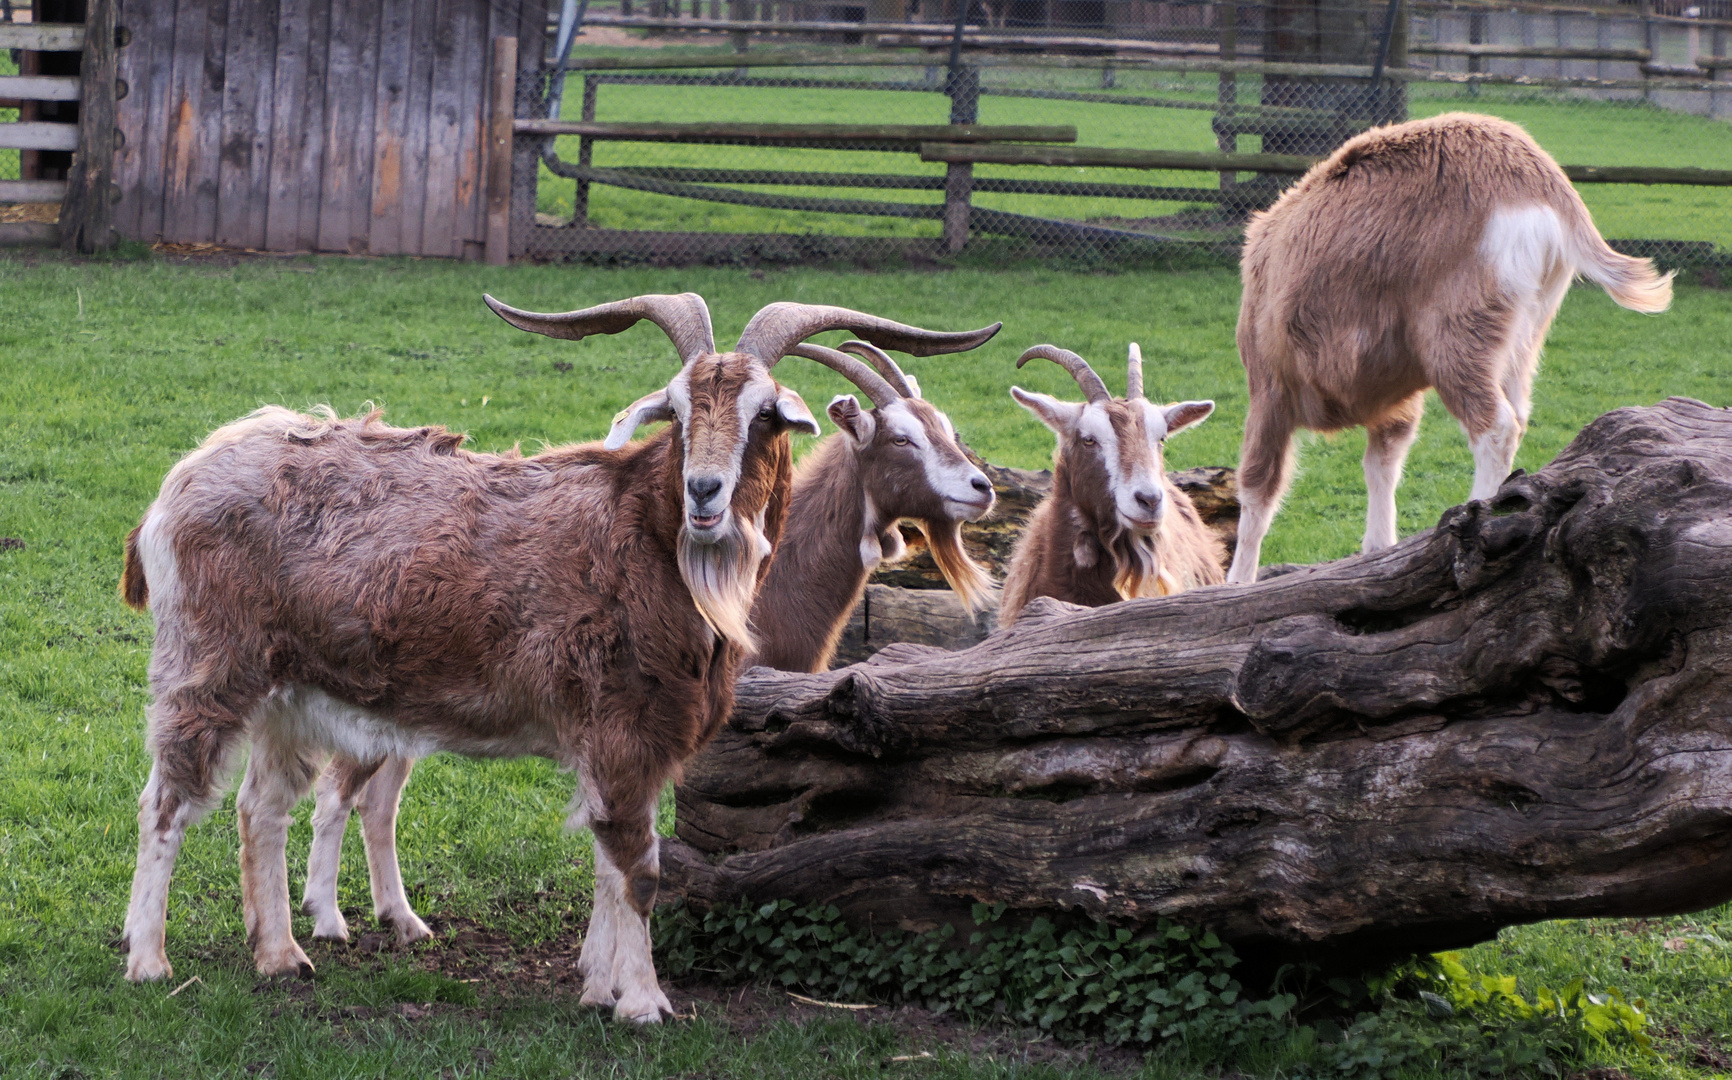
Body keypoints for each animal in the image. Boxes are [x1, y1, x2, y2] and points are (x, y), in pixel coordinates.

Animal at [1226, 109, 1669, 581]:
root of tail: (1545, 188)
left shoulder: (1269, 387)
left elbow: (1257, 486)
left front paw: (1238, 582)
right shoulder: (1396, 401)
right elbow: (1381, 465)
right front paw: (1377, 549)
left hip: (1458, 336)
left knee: (1496, 425)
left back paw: (1477, 518)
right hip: (1524, 335)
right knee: (1518, 412)